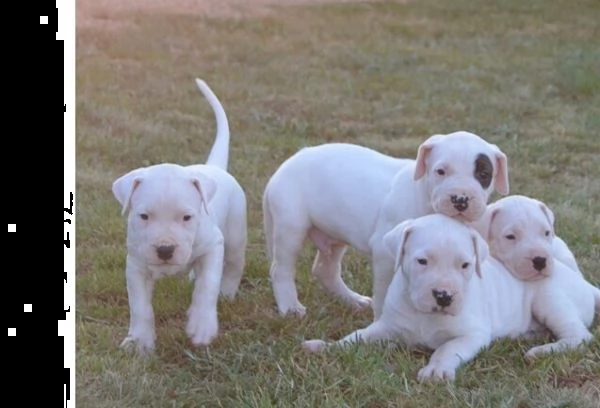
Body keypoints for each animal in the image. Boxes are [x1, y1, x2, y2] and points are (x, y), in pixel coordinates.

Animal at [111, 79, 245, 354]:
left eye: (187, 217)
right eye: (144, 216)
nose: (165, 250)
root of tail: (214, 168)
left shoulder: (214, 246)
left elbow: (207, 287)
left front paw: (202, 326)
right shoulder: (136, 265)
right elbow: (140, 307)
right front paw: (140, 341)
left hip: (236, 235)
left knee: (233, 266)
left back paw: (226, 293)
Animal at [304, 214, 600, 382]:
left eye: (465, 265)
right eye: (422, 261)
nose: (444, 296)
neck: (425, 315)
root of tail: (586, 284)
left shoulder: (471, 335)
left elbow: (447, 349)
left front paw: (436, 370)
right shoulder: (386, 327)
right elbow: (355, 337)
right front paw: (326, 346)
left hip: (549, 298)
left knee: (579, 336)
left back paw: (541, 351)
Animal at [468, 195, 600, 356]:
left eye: (546, 233)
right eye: (510, 236)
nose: (540, 260)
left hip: (552, 300)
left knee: (579, 335)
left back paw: (540, 352)